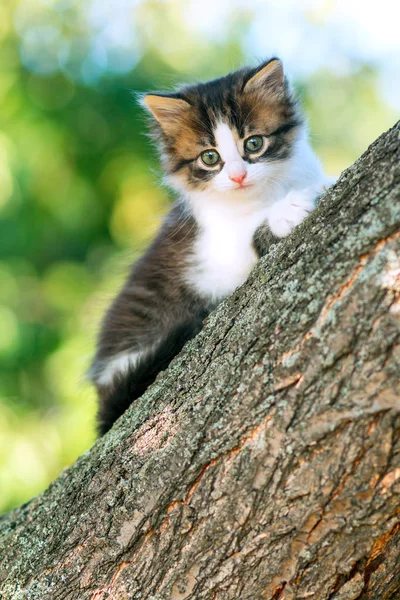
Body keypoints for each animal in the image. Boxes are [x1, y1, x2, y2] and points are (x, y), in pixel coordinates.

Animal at [90, 58, 332, 434]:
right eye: (209, 157)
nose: (237, 176)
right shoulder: (210, 257)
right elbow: (249, 235)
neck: (259, 195)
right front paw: (287, 210)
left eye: (253, 144)